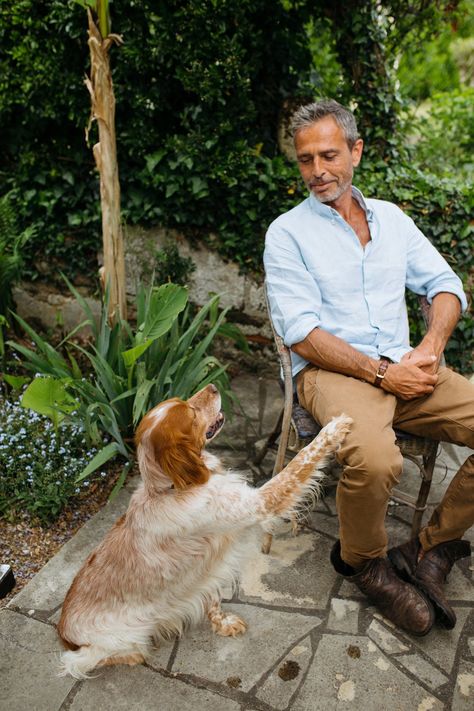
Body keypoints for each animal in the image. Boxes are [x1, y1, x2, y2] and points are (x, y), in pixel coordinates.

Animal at [57, 384, 350, 680]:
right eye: (191, 413)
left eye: (183, 400)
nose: (212, 386)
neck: (170, 489)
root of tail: (64, 634)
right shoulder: (259, 503)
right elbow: (300, 461)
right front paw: (335, 427)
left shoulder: (208, 565)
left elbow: (212, 597)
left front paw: (223, 622)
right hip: (116, 640)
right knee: (83, 661)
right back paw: (136, 653)